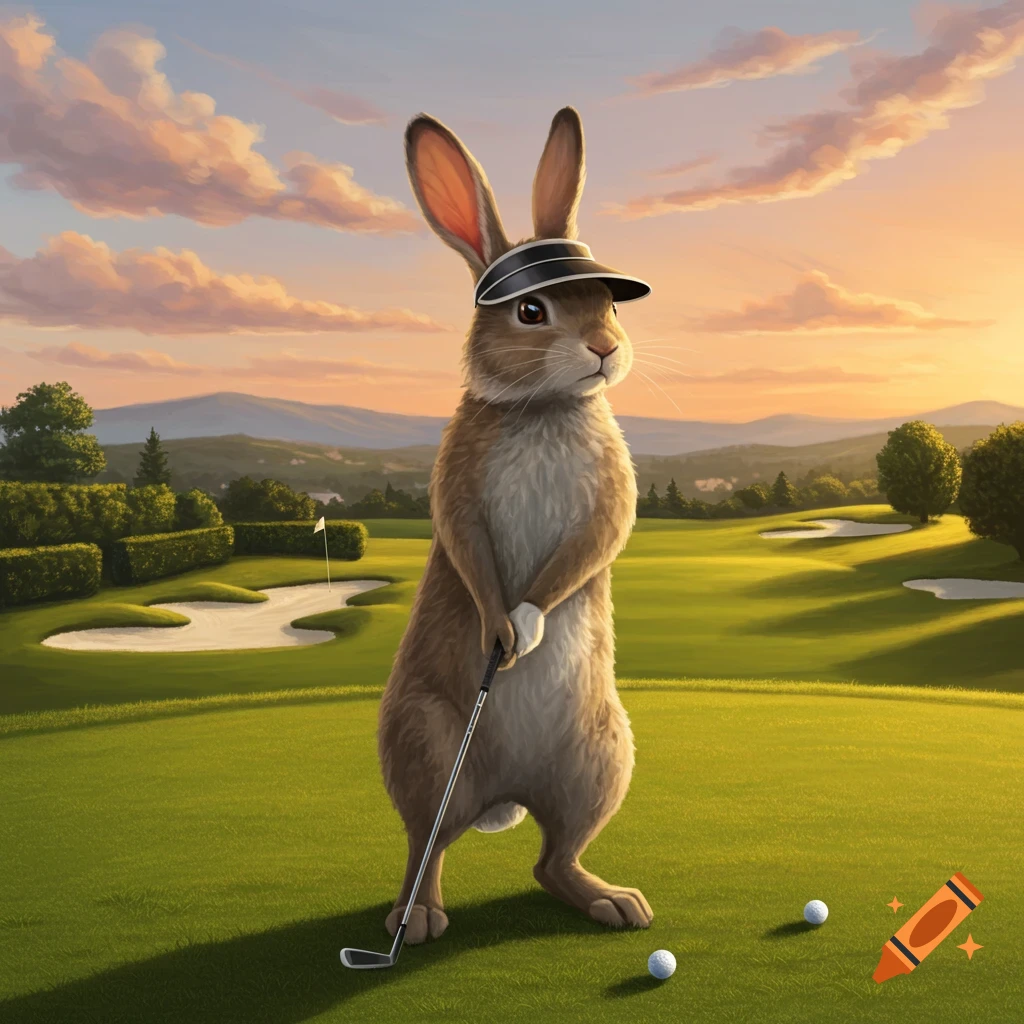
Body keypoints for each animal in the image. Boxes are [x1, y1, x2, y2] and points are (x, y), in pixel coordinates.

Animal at [376, 106, 651, 945]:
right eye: (533, 310)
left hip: (598, 758)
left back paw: (613, 902)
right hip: (427, 745)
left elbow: (593, 541)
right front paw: (504, 630)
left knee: (552, 860)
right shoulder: (459, 489)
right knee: (425, 843)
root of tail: (505, 798)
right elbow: (469, 547)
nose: (606, 349)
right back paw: (416, 920)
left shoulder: (607, 497)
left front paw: (526, 625)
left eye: (611, 304)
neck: (542, 406)